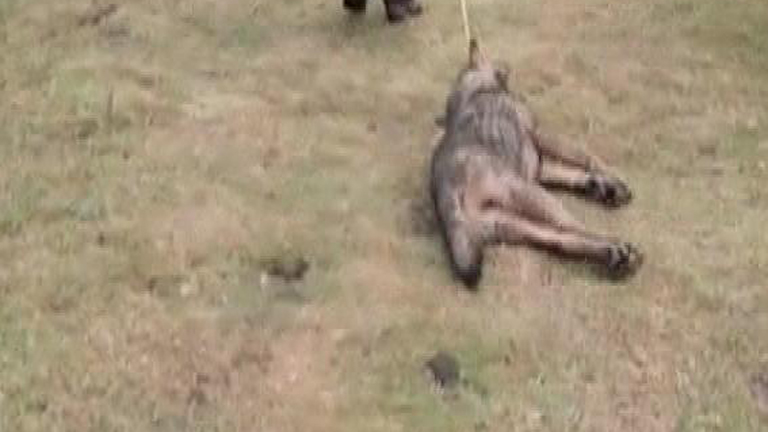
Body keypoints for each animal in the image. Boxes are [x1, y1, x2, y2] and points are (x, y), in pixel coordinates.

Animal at [432, 38, 640, 288]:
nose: (473, 40)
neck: (477, 88)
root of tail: (447, 194)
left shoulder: (537, 163)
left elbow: (566, 172)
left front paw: (602, 184)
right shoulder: (539, 136)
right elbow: (583, 155)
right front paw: (608, 174)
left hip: (515, 224)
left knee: (562, 238)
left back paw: (614, 254)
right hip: (533, 196)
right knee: (572, 227)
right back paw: (616, 247)